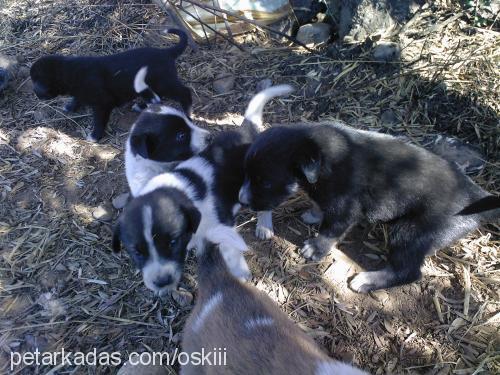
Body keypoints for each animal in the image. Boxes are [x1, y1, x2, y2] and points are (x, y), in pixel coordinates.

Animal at [30, 28, 192, 142]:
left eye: (36, 80)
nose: (35, 93)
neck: (69, 72)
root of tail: (166, 53)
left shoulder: (102, 102)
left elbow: (99, 120)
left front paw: (95, 136)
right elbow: (77, 98)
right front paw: (70, 107)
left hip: (164, 82)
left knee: (184, 92)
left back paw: (187, 115)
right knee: (157, 97)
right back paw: (141, 106)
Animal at [113, 85, 292, 294]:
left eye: (172, 242)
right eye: (180, 136)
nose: (209, 137)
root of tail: (245, 131)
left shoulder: (222, 227)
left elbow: (231, 250)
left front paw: (240, 275)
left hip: (261, 181)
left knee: (265, 202)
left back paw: (264, 226)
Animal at [239, 122, 500, 294]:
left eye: (265, 182)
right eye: (248, 175)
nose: (242, 201)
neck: (326, 162)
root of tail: (476, 195)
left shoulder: (345, 207)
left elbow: (330, 230)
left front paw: (315, 248)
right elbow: (318, 203)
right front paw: (314, 214)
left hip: (412, 231)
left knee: (408, 271)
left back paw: (367, 280)